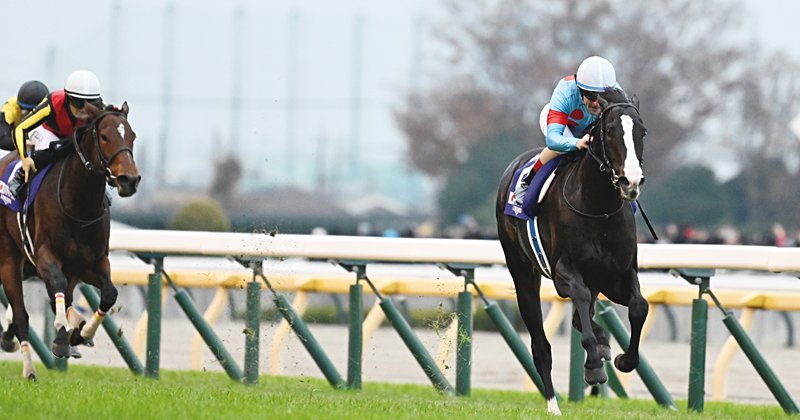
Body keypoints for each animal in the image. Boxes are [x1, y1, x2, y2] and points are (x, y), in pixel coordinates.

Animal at [0, 101, 140, 380]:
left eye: (132, 136)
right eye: (105, 136)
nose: (129, 180)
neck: (79, 203)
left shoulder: (92, 262)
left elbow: (109, 293)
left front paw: (82, 332)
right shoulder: (45, 256)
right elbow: (56, 286)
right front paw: (63, 338)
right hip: (9, 259)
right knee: (21, 316)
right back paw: (29, 369)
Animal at [495, 88, 648, 415]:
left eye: (642, 131)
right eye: (610, 130)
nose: (630, 181)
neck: (599, 208)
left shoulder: (616, 276)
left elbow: (639, 306)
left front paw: (622, 358)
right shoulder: (564, 273)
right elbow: (578, 299)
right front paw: (594, 362)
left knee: (583, 317)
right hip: (523, 273)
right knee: (541, 346)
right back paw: (553, 405)